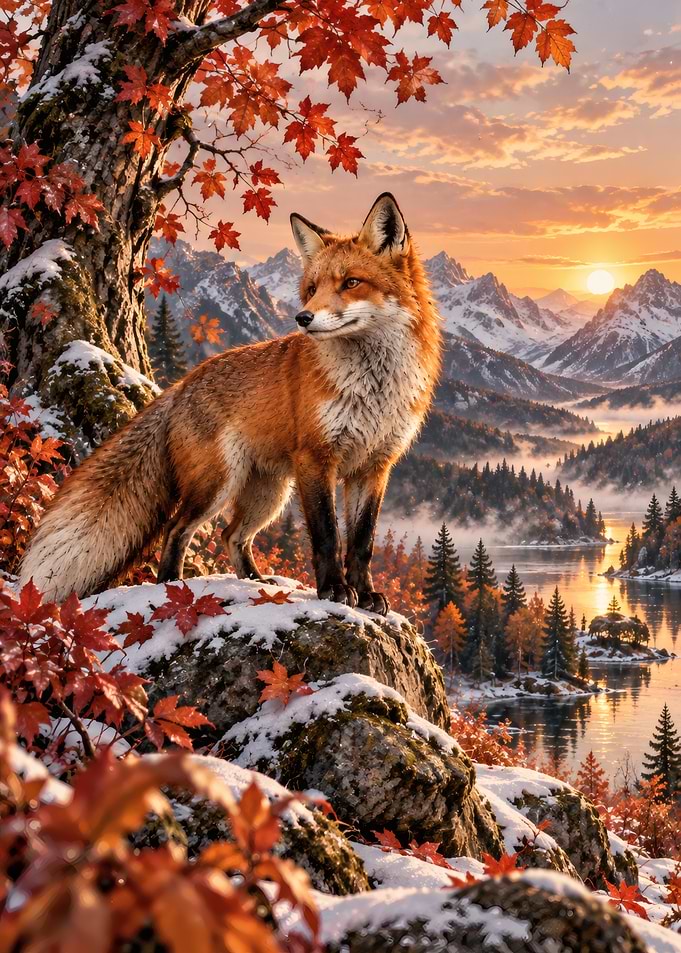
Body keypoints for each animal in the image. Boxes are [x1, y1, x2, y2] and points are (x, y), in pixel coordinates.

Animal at [19, 193, 442, 615]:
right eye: (311, 289)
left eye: (352, 283)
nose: (302, 317)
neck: (373, 389)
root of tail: (181, 384)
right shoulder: (317, 458)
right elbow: (327, 537)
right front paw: (335, 590)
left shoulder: (374, 466)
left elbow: (362, 542)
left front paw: (366, 595)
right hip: (219, 484)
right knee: (178, 529)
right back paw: (171, 584)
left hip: (268, 494)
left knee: (231, 535)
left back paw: (255, 582)